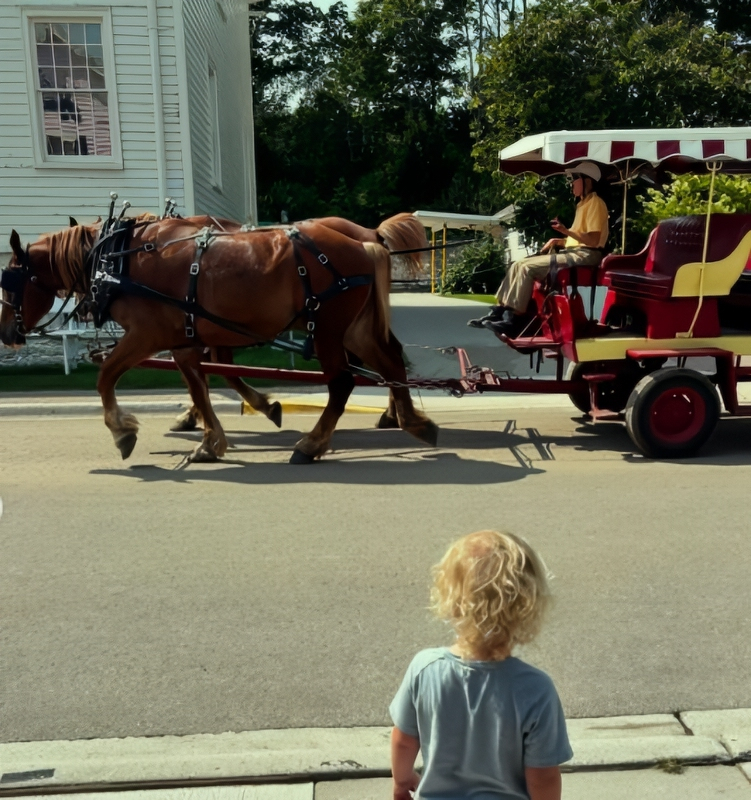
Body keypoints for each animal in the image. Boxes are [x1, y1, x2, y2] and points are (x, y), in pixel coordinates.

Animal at [1, 217, 434, 462]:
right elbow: (200, 384)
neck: (118, 259)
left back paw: (311, 445)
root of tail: (364, 241)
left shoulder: (146, 334)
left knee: (343, 382)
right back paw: (412, 421)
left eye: (9, 281)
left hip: (327, 329)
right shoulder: (185, 339)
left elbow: (106, 375)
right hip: (354, 328)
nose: (7, 334)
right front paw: (212, 440)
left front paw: (123, 432)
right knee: (391, 360)